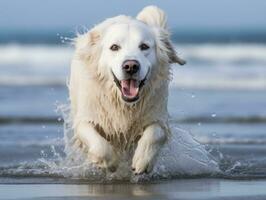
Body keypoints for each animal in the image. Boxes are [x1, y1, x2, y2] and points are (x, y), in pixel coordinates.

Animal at [68, 5, 185, 174]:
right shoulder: (85, 117)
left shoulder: (158, 115)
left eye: (144, 46)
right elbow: (98, 144)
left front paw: (143, 160)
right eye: (114, 47)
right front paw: (110, 162)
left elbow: (155, 133)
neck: (124, 104)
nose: (130, 66)